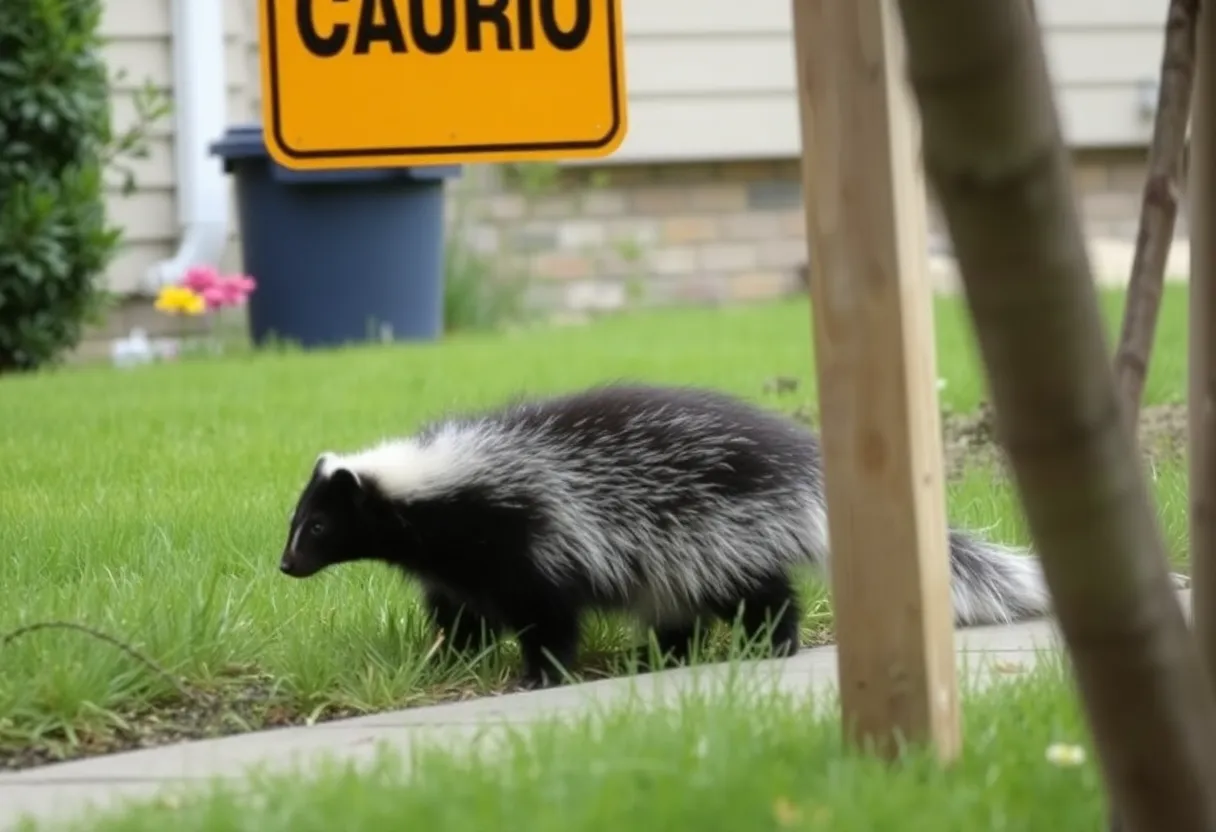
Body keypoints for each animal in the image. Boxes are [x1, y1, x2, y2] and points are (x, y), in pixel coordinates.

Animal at [282, 379, 1055, 686]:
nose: (287, 566)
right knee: (679, 609)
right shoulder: (458, 568)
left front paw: (537, 674)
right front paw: (443, 659)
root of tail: (800, 464)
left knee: (760, 593)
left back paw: (771, 643)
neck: (443, 491)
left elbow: (547, 617)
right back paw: (656, 656)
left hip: (718, 529)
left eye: (319, 524)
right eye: (297, 522)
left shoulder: (536, 535)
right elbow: (460, 615)